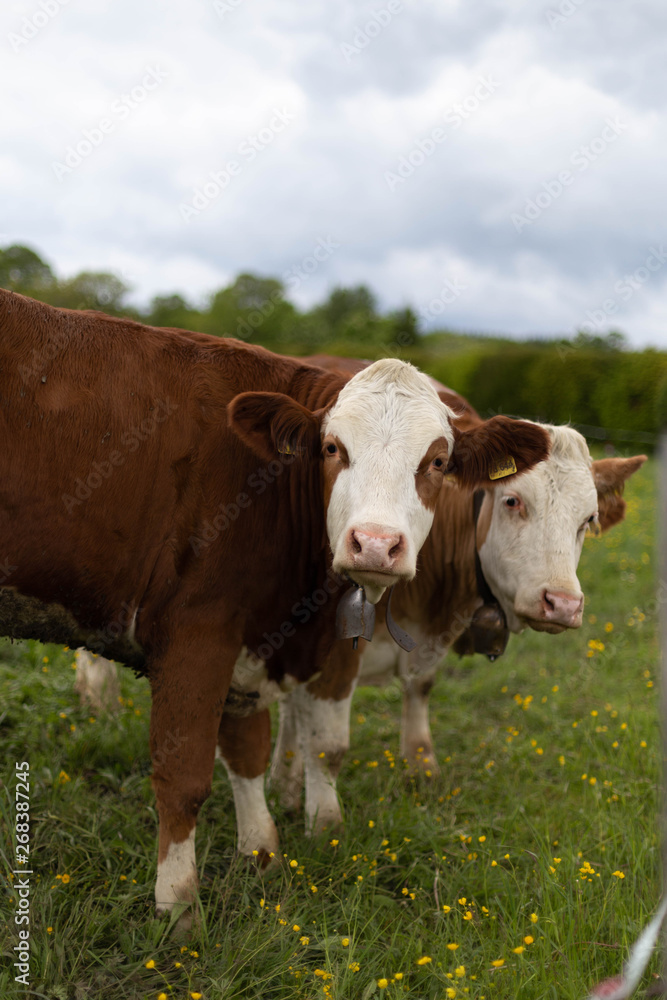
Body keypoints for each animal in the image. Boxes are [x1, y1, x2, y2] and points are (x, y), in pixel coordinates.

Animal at [0, 292, 552, 928]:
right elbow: (184, 776)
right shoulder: (197, 634)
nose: (375, 544)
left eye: (437, 462)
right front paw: (180, 908)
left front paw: (261, 853)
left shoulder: (253, 640)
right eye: (333, 448)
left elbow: (249, 752)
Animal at [268, 364, 644, 832]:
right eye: (512, 501)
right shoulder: (332, 654)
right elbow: (325, 741)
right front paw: (322, 824)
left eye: (588, 520)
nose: (562, 603)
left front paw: (422, 771)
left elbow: (419, 690)